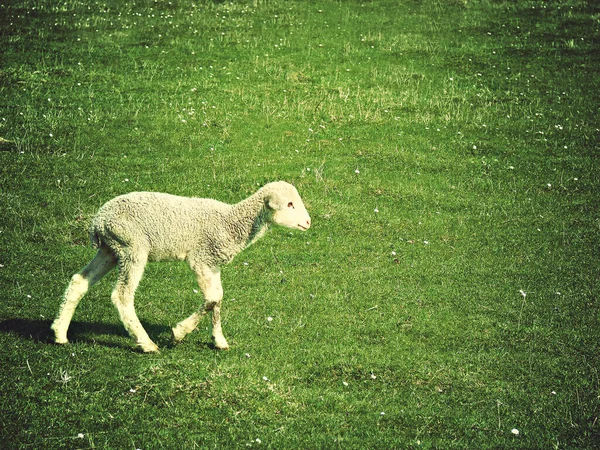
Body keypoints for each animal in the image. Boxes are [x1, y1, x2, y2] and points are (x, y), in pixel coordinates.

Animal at [49, 181, 312, 354]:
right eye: (289, 204)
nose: (308, 222)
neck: (231, 222)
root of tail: (98, 222)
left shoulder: (213, 264)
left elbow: (218, 299)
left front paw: (219, 340)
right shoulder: (201, 259)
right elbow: (212, 299)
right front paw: (179, 333)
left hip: (110, 250)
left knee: (79, 281)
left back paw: (60, 334)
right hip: (132, 247)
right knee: (122, 295)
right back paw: (146, 344)